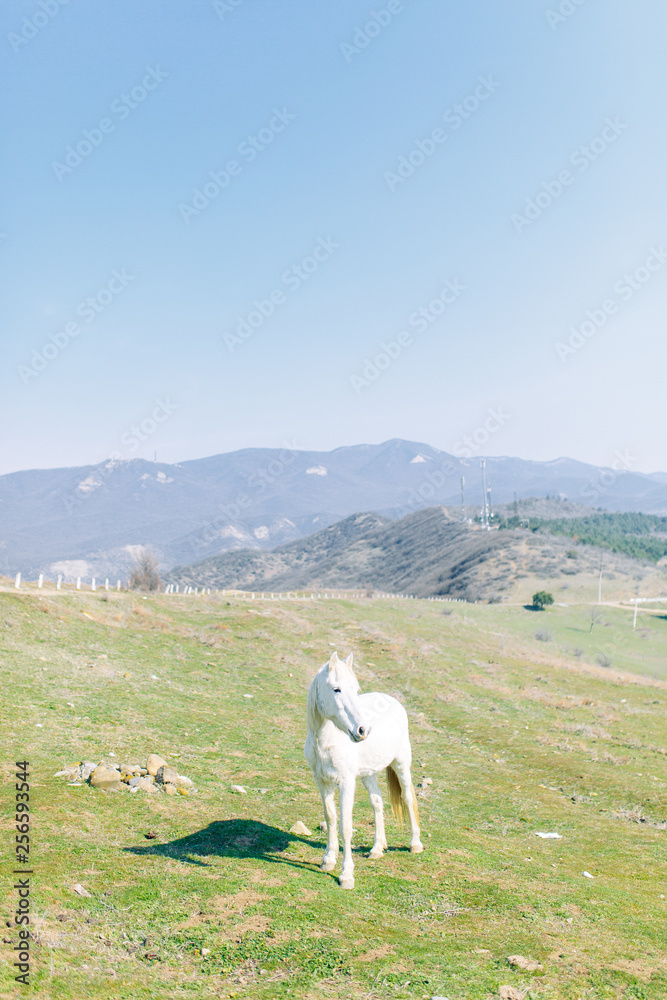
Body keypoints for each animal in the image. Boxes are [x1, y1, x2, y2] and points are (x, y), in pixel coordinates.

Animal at [303, 650, 423, 889]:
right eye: (336, 689)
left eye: (356, 689)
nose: (363, 730)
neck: (325, 741)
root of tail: (391, 699)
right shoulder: (322, 782)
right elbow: (330, 818)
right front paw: (328, 860)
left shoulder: (346, 783)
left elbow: (345, 826)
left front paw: (346, 875)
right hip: (368, 773)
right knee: (377, 801)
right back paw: (377, 848)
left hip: (401, 764)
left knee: (407, 797)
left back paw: (415, 844)